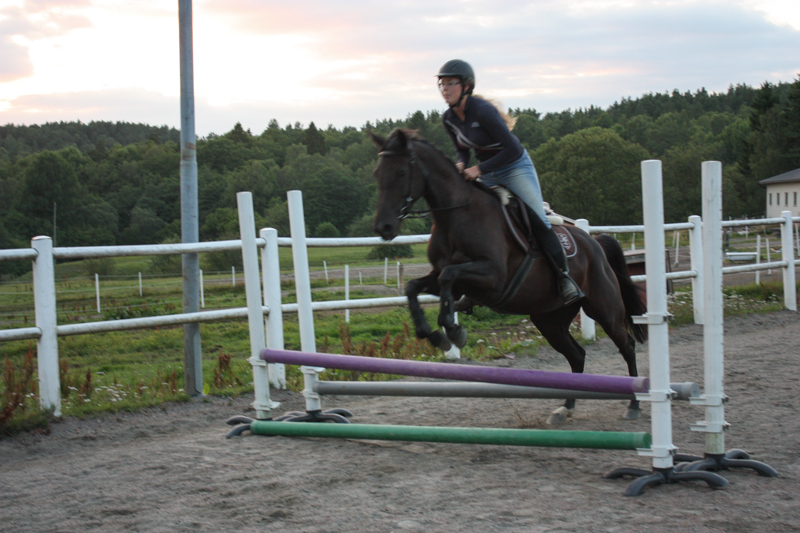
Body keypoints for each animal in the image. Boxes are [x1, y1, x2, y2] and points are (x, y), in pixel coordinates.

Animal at [369, 128, 647, 423]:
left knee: (627, 345)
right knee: (577, 355)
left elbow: (448, 275)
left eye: (401, 172)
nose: (383, 227)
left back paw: (634, 403)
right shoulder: (446, 279)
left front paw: (453, 330)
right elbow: (414, 286)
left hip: (604, 308)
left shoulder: (493, 277)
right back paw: (566, 407)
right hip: (550, 319)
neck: (457, 215)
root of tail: (595, 243)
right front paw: (434, 335)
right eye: (377, 173)